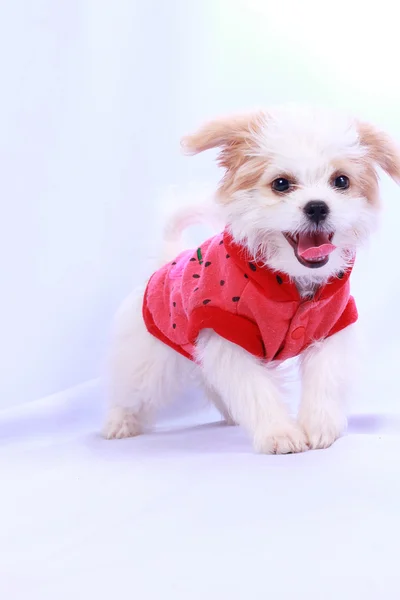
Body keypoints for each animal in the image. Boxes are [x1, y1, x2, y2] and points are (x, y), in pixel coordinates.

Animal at [104, 106, 400, 454]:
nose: (317, 206)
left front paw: (319, 426)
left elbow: (325, 379)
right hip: (146, 360)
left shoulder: (331, 324)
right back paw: (119, 423)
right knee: (131, 390)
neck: (288, 279)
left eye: (341, 181)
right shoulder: (226, 334)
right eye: (281, 184)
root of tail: (169, 259)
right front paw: (279, 434)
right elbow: (255, 390)